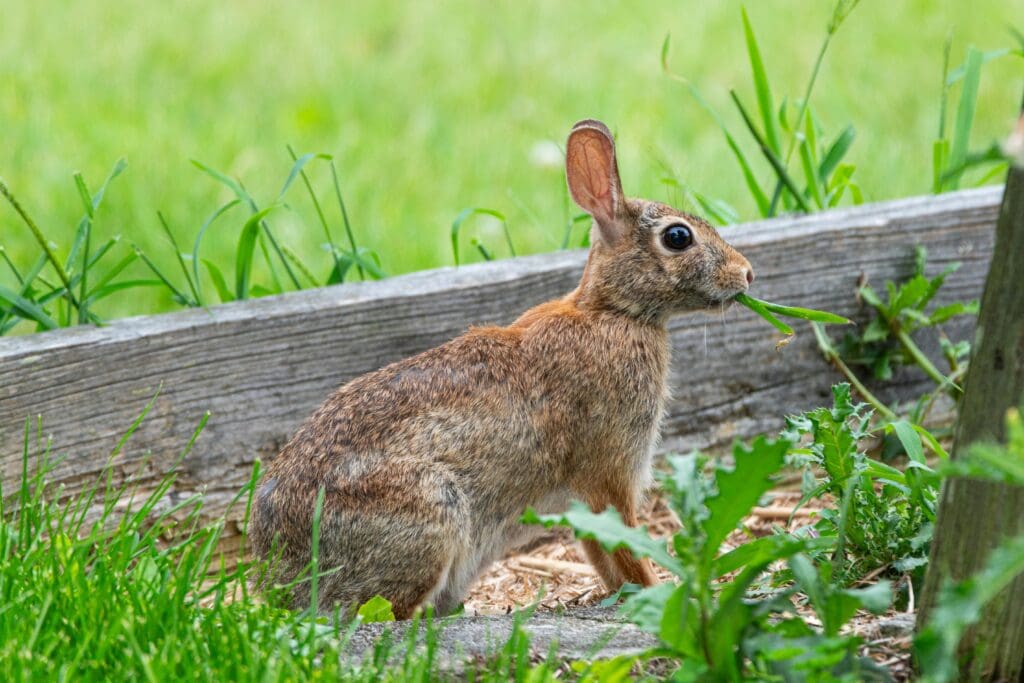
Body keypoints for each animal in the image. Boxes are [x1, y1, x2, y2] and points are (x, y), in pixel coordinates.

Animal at [248, 119, 754, 619]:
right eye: (678, 237)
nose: (747, 273)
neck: (613, 312)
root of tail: (281, 575)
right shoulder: (609, 472)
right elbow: (624, 544)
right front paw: (660, 593)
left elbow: (602, 554)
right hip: (431, 515)